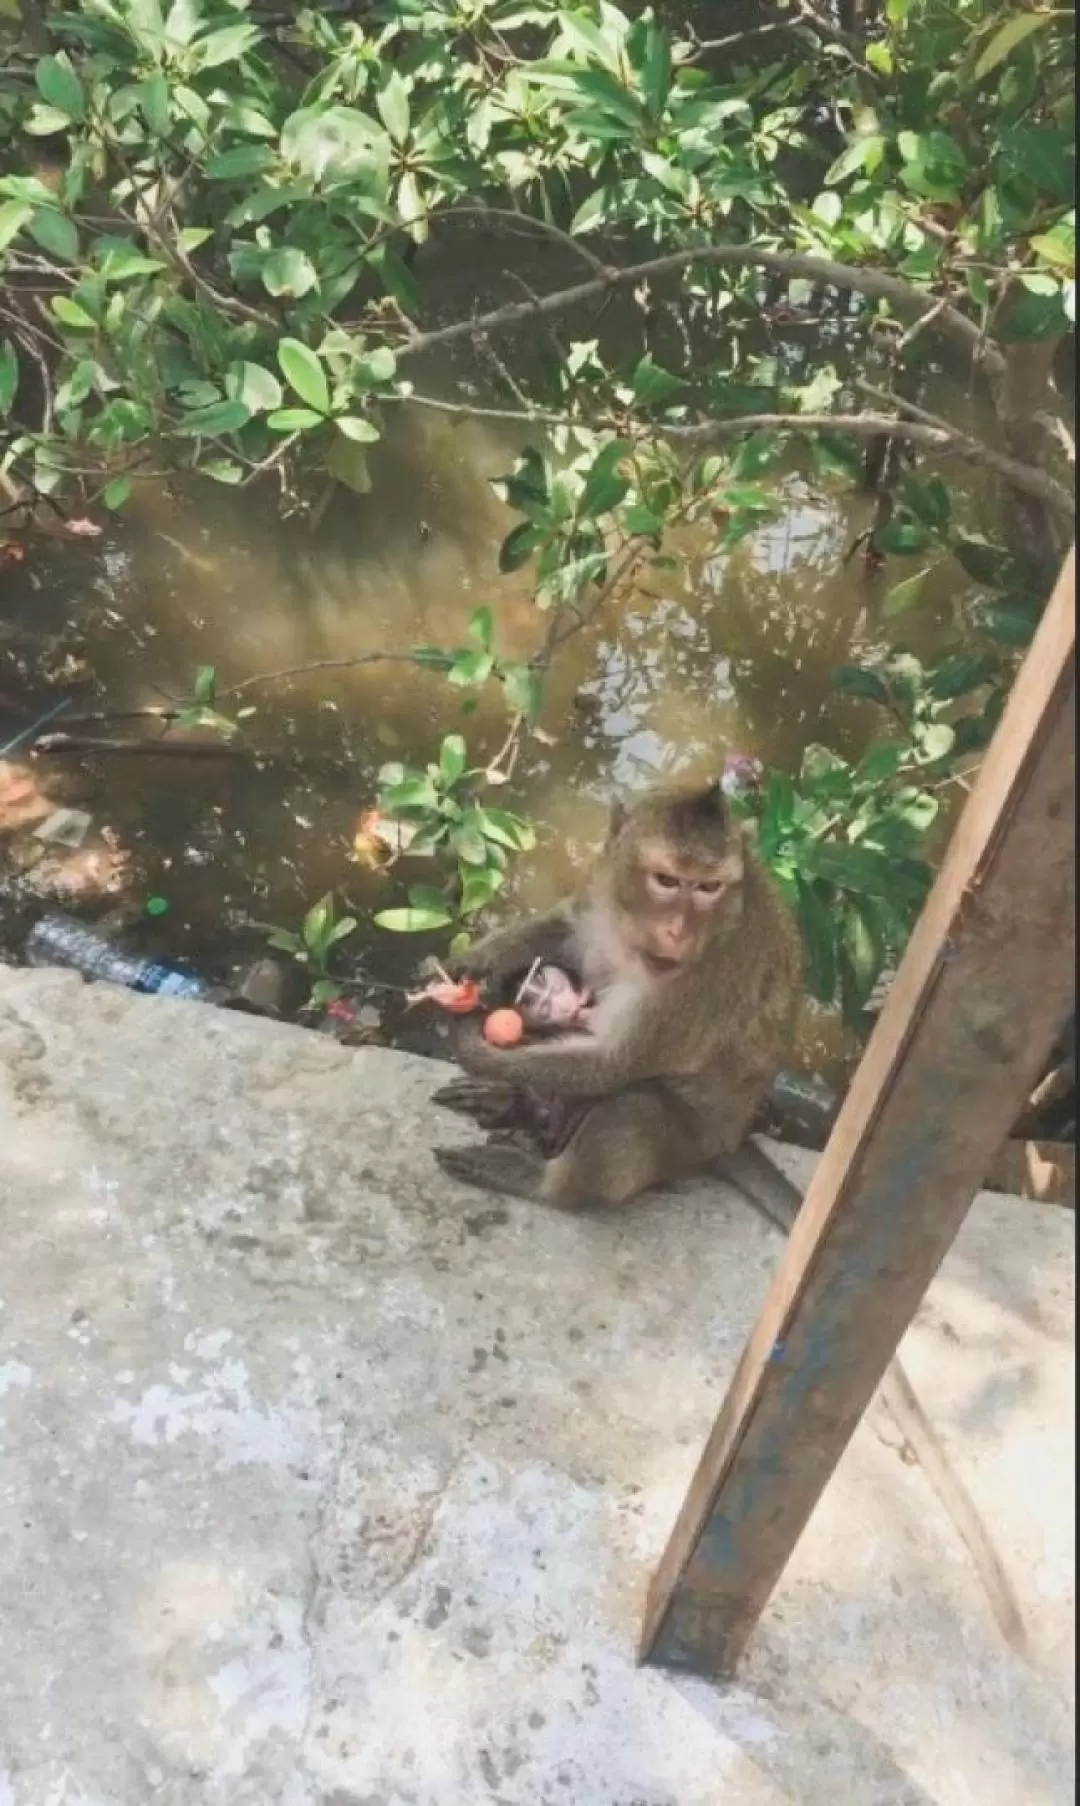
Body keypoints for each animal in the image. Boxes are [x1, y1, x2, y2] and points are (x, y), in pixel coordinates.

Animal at [431, 780, 805, 1213]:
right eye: (666, 880)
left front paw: (471, 1046)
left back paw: (540, 1182)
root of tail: (731, 1139)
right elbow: (568, 928)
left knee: (630, 1110)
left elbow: (612, 1063)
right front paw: (469, 964)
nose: (679, 931)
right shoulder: (602, 884)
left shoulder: (712, 977)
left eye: (709, 887)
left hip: (688, 1145)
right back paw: (511, 1102)